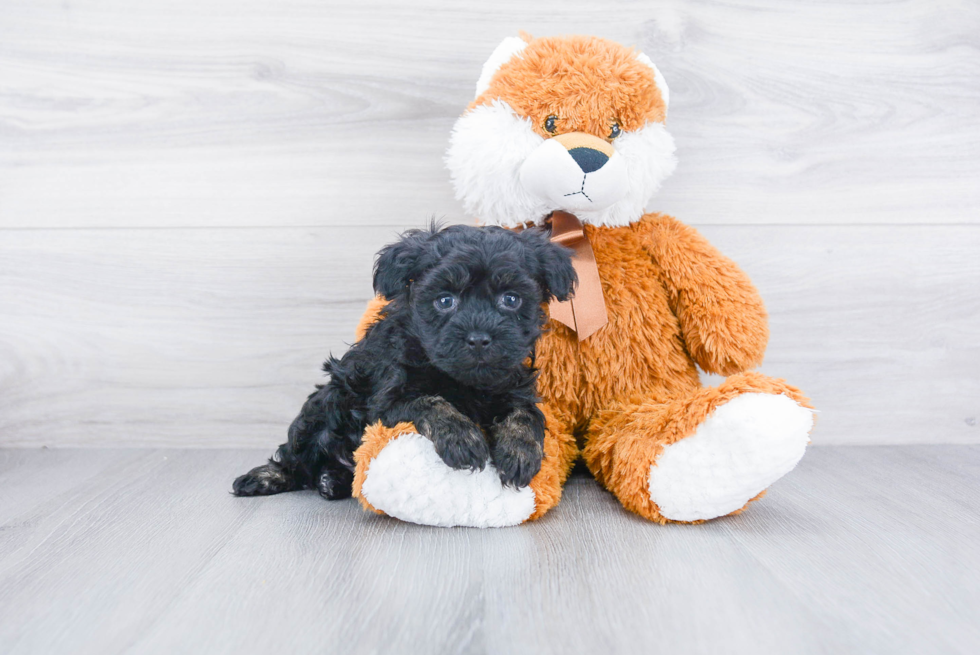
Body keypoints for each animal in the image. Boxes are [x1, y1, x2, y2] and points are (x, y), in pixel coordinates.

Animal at [234, 223, 580, 500]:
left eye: (511, 299)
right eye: (444, 300)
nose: (479, 338)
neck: (464, 381)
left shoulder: (514, 386)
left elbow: (525, 415)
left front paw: (520, 453)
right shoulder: (389, 399)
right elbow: (432, 402)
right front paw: (463, 439)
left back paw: (331, 481)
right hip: (324, 407)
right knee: (296, 459)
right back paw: (267, 478)